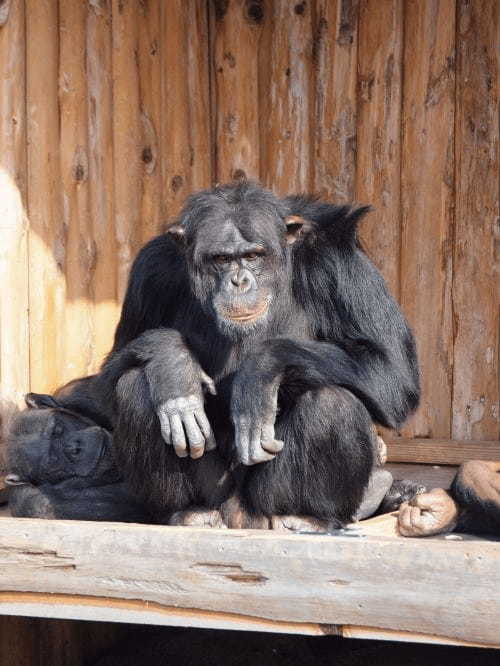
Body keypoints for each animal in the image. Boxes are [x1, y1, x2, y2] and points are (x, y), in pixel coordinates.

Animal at [87, 182, 422, 528]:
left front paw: (260, 372)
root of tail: (241, 514)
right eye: (221, 258)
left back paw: (307, 516)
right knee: (135, 389)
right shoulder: (151, 271)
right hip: (218, 492)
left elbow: (391, 371)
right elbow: (109, 376)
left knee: (332, 401)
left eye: (252, 255)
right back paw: (190, 511)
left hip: (267, 496)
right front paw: (173, 367)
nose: (239, 281)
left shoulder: (340, 260)